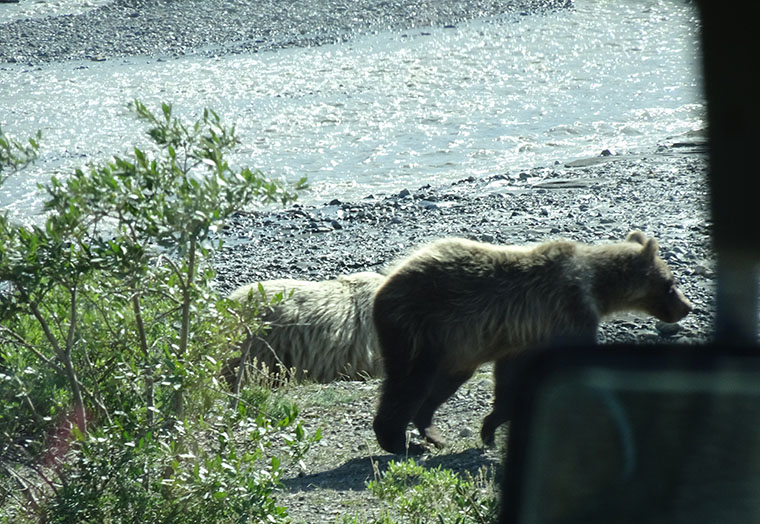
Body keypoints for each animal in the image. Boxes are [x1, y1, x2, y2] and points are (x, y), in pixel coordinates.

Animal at [372, 232, 692, 454]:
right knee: (410, 383)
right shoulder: (568, 313)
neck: (598, 289)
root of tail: (386, 282)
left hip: (457, 348)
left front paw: (490, 426)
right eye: (671, 283)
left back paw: (432, 433)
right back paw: (400, 442)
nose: (687, 307)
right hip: (423, 327)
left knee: (442, 384)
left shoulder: (522, 336)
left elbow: (508, 378)